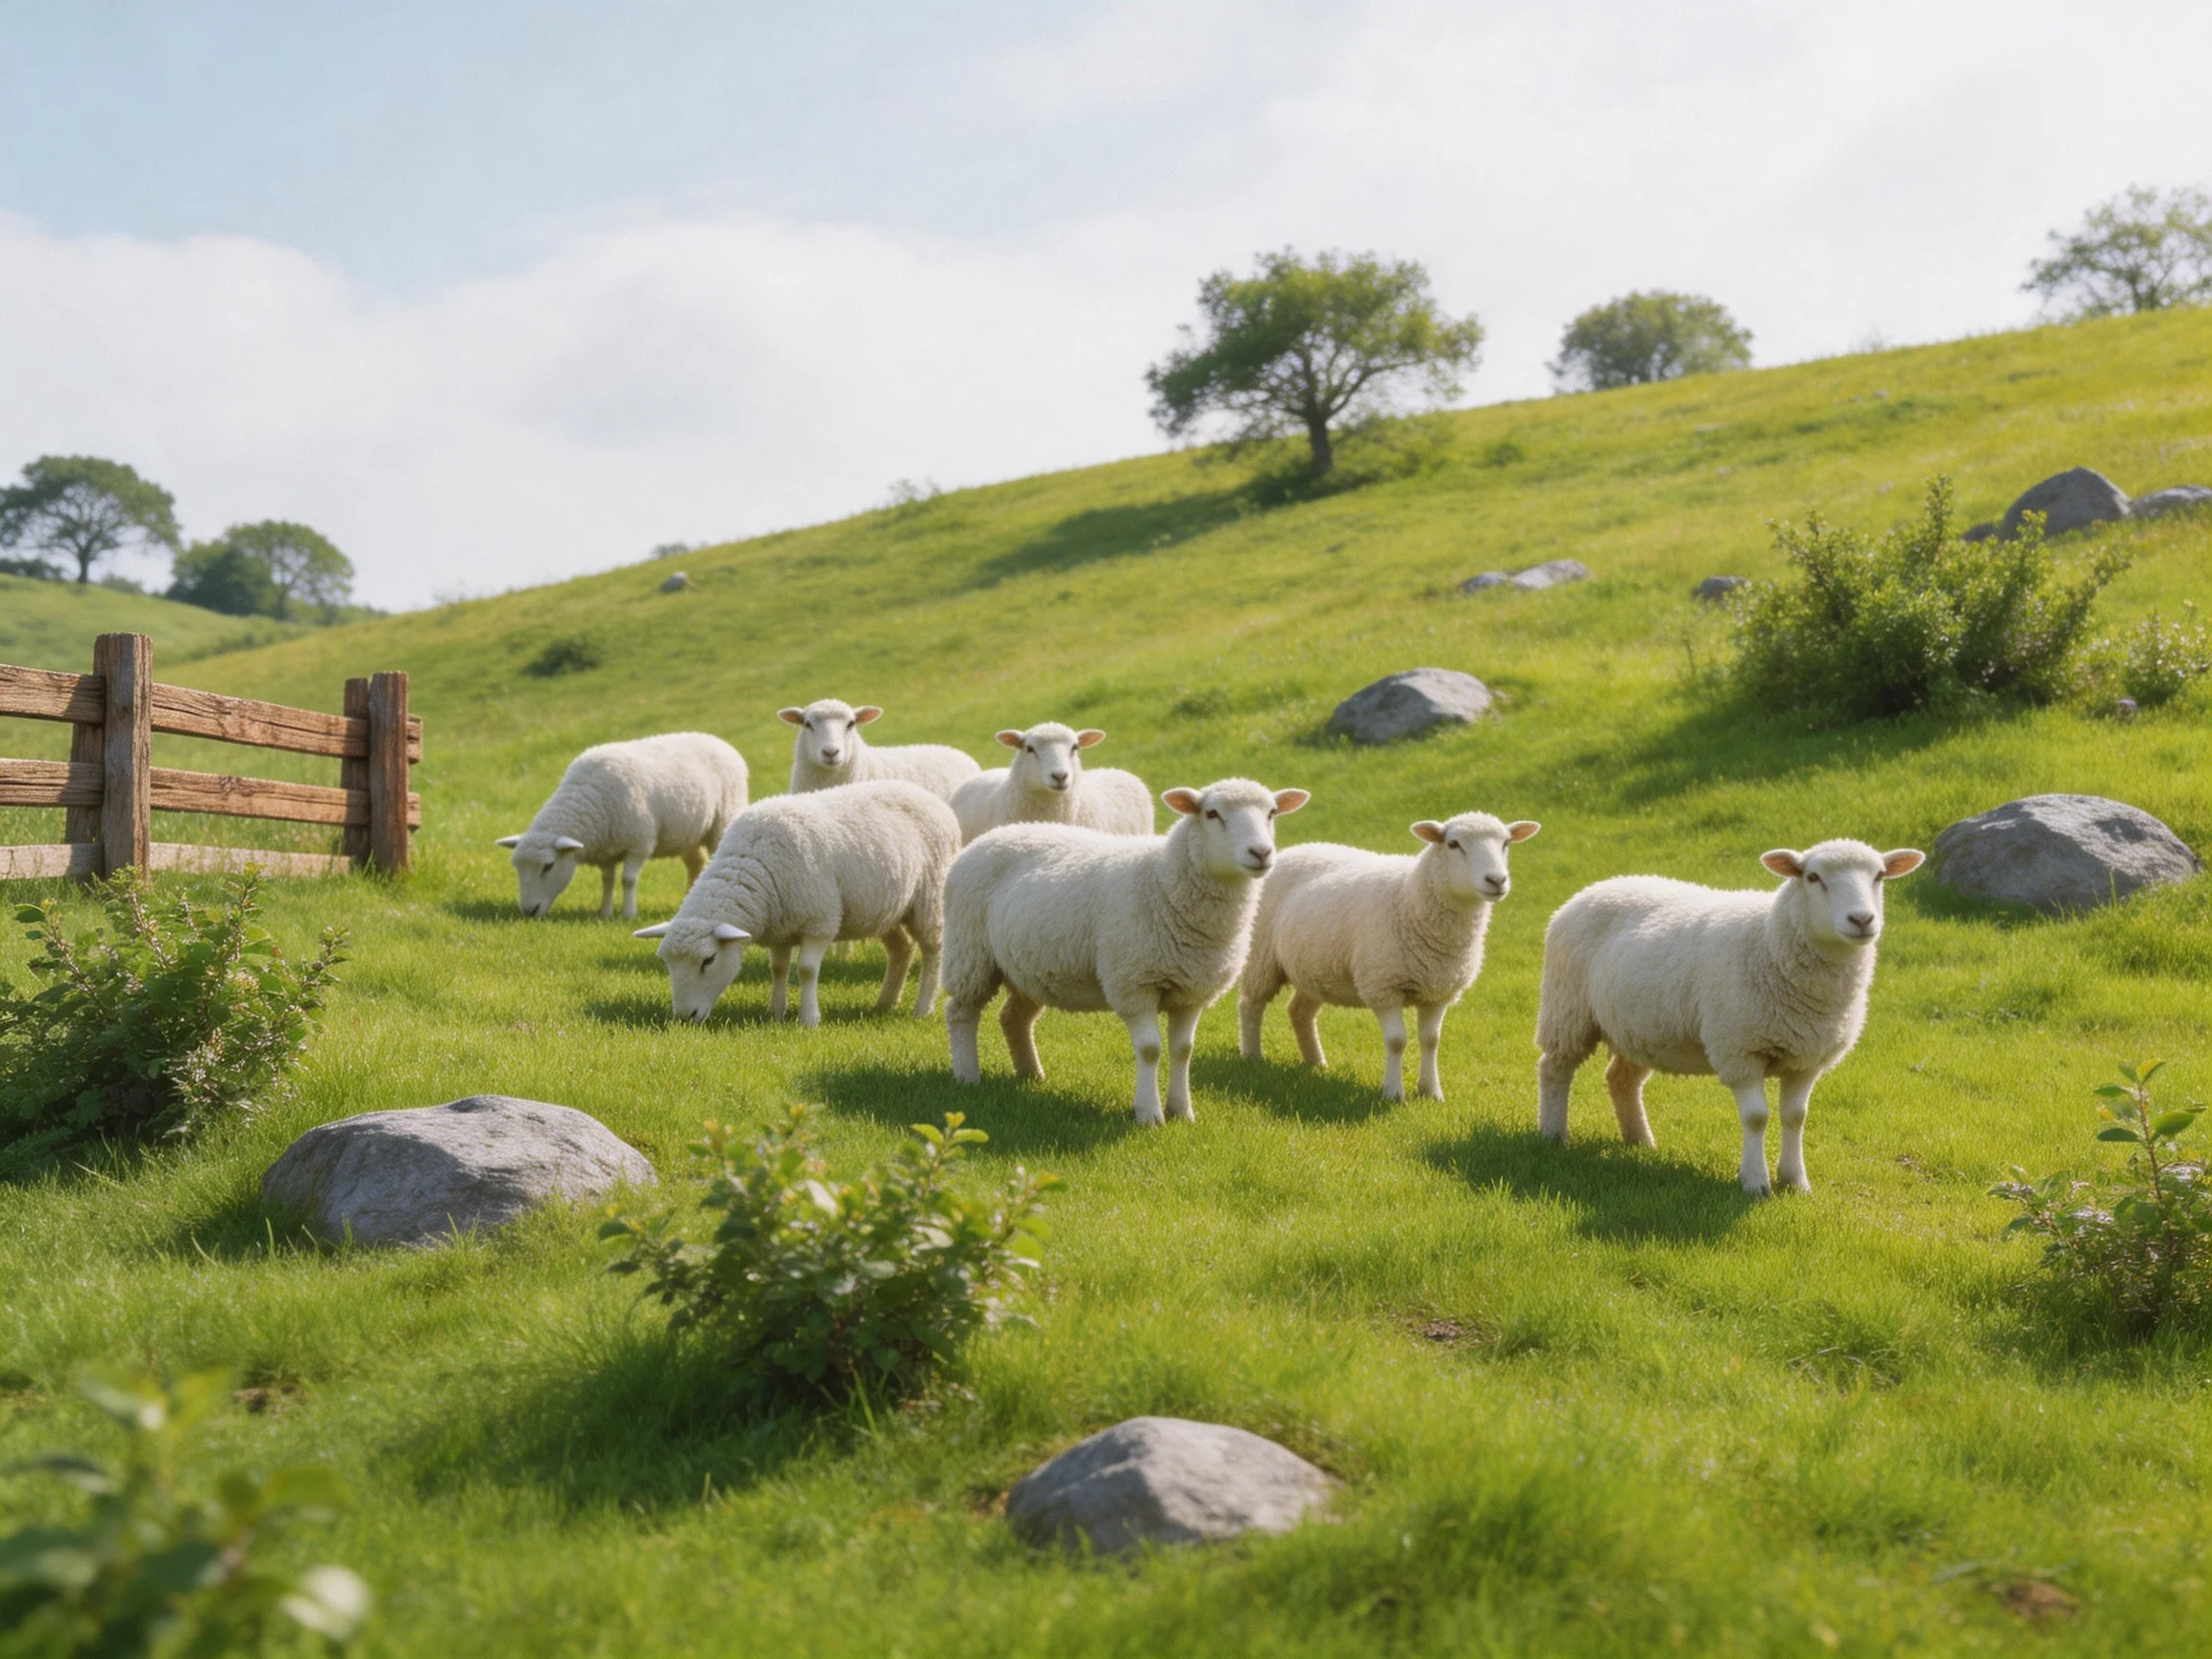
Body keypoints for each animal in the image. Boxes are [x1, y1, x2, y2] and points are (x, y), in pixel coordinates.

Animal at [495, 732, 748, 920]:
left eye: (548, 866)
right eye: (517, 868)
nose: (529, 912)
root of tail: (720, 741)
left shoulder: (639, 844)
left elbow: (628, 880)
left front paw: (628, 914)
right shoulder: (606, 850)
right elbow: (607, 881)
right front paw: (605, 913)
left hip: (723, 821)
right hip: (687, 834)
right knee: (696, 863)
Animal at [632, 779, 959, 1028]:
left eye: (708, 960)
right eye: (666, 963)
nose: (685, 1017)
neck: (756, 861)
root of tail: (931, 798)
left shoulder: (819, 922)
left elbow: (806, 970)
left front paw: (809, 1018)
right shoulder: (780, 926)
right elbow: (778, 969)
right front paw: (776, 1012)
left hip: (928, 898)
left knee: (933, 950)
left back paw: (922, 1008)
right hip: (886, 908)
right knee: (902, 949)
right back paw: (885, 1002)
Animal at [942, 778, 1310, 1126]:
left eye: (1271, 813)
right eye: (1212, 813)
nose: (1261, 853)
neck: (1164, 881)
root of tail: (994, 834)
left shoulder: (1191, 991)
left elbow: (1183, 1051)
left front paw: (1182, 1112)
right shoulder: (1135, 983)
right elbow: (1150, 1050)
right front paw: (1149, 1114)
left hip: (1029, 966)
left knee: (1013, 1017)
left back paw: (1031, 1074)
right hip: (969, 952)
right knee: (960, 1013)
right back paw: (967, 1075)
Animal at [1239, 813, 1540, 1102]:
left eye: (1506, 843)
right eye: (1454, 844)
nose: (1497, 881)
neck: (1410, 897)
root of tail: (1294, 850)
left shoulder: (1438, 991)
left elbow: (1431, 1040)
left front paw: (1431, 1092)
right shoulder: (1383, 986)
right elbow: (1397, 1041)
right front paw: (1394, 1093)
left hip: (1315, 969)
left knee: (1299, 1012)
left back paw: (1316, 1063)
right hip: (1261, 956)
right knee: (1251, 1004)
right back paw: (1253, 1057)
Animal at [1533, 840, 1926, 1195]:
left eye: (1879, 876)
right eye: (1813, 877)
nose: (1862, 920)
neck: (1770, 939)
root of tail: (1599, 885)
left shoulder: (1806, 1058)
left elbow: (1795, 1118)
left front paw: (1795, 1181)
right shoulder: (1741, 1050)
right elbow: (1756, 1117)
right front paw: (1755, 1181)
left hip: (1639, 1027)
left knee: (1620, 1080)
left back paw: (1640, 1141)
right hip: (1567, 1008)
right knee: (1554, 1069)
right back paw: (1553, 1135)